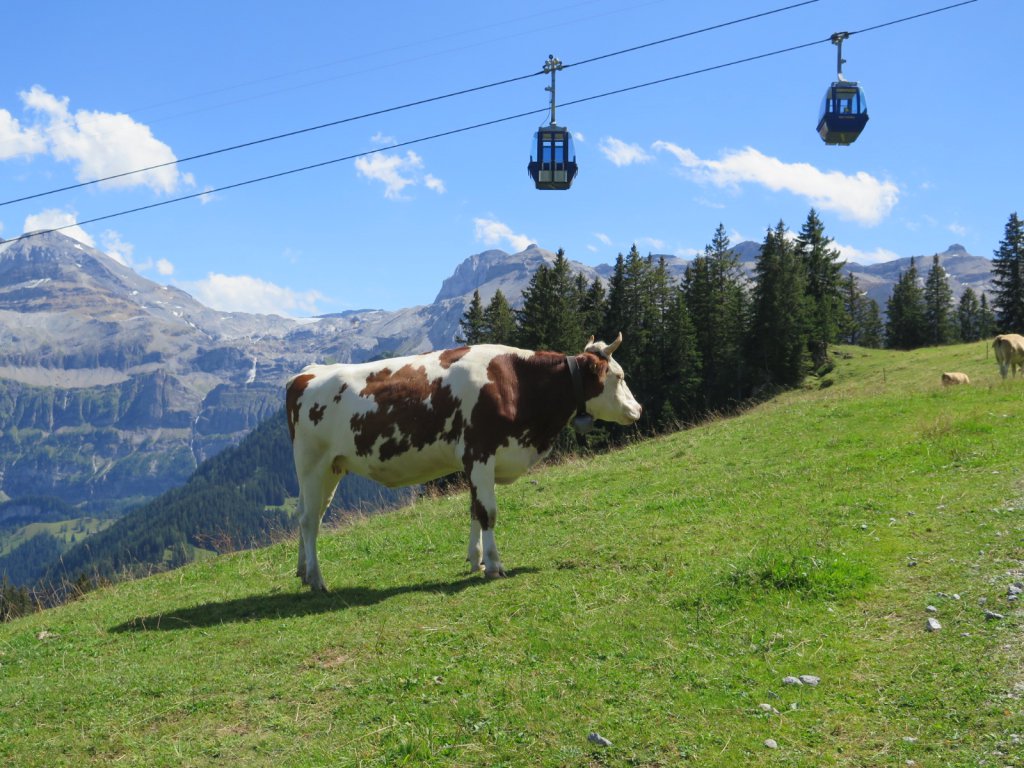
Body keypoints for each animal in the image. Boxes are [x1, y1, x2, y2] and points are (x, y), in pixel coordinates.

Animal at [284, 333, 643, 593]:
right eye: (620, 375)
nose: (638, 410)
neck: (516, 383)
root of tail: (306, 373)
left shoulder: (473, 463)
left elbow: (473, 509)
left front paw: (477, 560)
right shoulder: (480, 453)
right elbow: (488, 512)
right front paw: (495, 566)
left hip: (331, 468)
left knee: (308, 514)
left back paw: (303, 571)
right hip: (312, 463)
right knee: (308, 520)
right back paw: (317, 580)